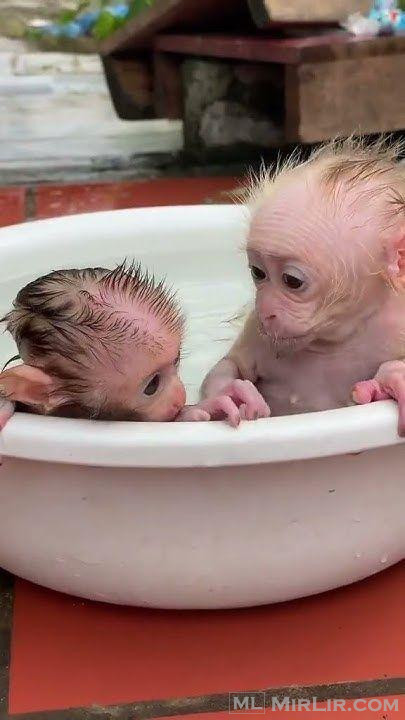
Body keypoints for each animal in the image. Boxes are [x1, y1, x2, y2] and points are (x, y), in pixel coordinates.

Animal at [197, 136, 405, 435]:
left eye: (292, 281)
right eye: (258, 273)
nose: (266, 311)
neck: (336, 334)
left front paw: (392, 379)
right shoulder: (255, 330)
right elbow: (232, 365)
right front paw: (227, 394)